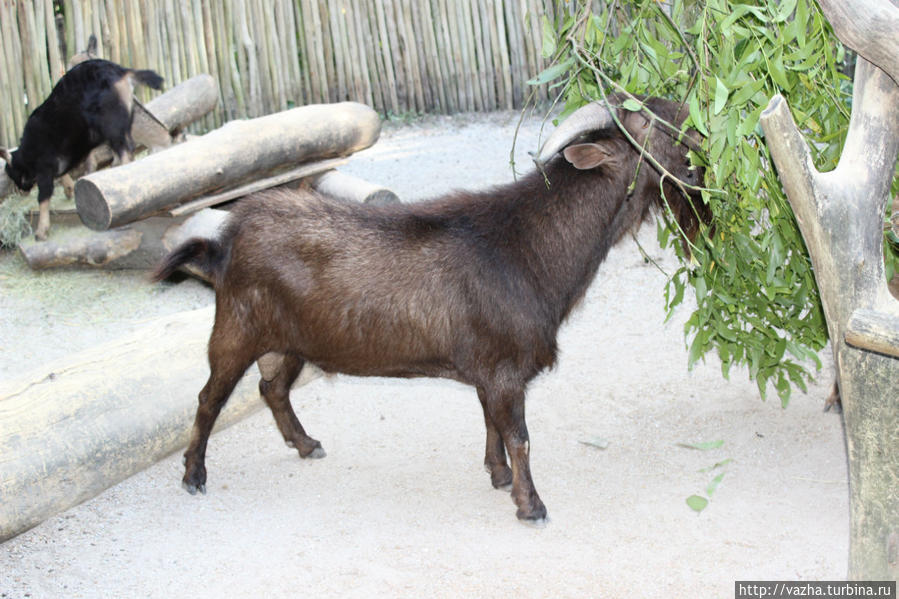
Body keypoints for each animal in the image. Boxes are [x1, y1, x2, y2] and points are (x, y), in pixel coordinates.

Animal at [0, 58, 162, 240]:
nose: (22, 191)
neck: (28, 152)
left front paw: (41, 232)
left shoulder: (44, 168)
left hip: (111, 124)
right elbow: (62, 174)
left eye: (13, 174)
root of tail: (121, 72)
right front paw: (69, 190)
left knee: (126, 150)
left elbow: (44, 196)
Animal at [151, 96, 708, 524]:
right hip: (236, 328)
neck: (527, 247)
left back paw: (306, 445)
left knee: (272, 388)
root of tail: (224, 242)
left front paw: (498, 476)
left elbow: (490, 423)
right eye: (645, 123)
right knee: (209, 399)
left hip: (290, 340)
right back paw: (194, 476)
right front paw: (531, 506)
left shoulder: (488, 369)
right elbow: (520, 436)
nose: (693, 121)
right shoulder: (506, 369)